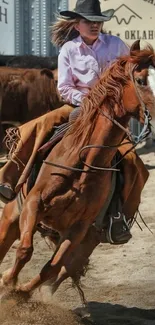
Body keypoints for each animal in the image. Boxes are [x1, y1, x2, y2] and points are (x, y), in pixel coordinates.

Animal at [0, 39, 155, 296]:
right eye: (142, 80)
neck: (83, 165)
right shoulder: (33, 203)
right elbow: (25, 250)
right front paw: (8, 282)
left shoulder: (79, 228)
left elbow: (51, 267)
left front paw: (17, 292)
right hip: (12, 216)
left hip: (89, 240)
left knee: (63, 270)